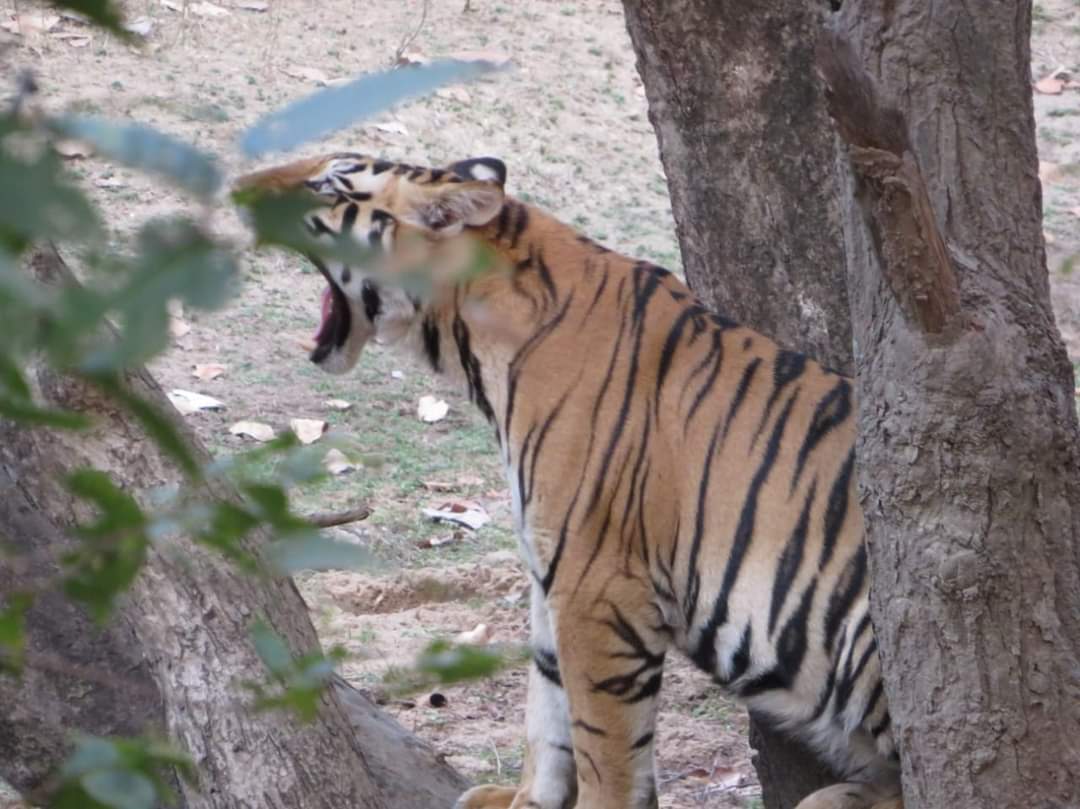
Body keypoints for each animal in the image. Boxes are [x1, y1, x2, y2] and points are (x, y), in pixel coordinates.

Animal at [236, 151, 902, 807]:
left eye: (329, 185)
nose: (238, 186)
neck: (475, 343)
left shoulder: (596, 583)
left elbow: (600, 743)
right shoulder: (548, 568)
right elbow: (546, 707)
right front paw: (524, 799)